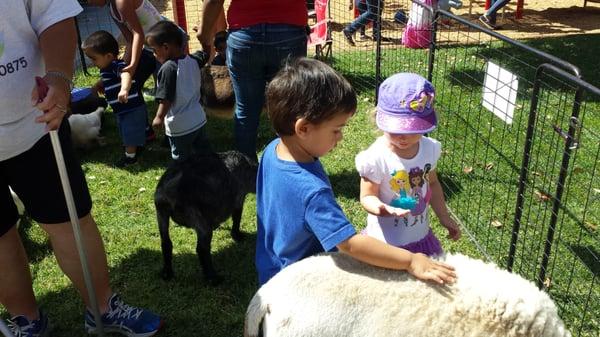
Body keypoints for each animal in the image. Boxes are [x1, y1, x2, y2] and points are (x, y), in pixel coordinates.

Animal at [154, 151, 256, 284]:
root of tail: (169, 190)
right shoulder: (238, 199)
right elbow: (237, 218)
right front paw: (237, 236)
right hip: (200, 222)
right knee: (202, 249)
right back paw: (213, 278)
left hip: (161, 215)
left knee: (166, 243)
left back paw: (167, 273)